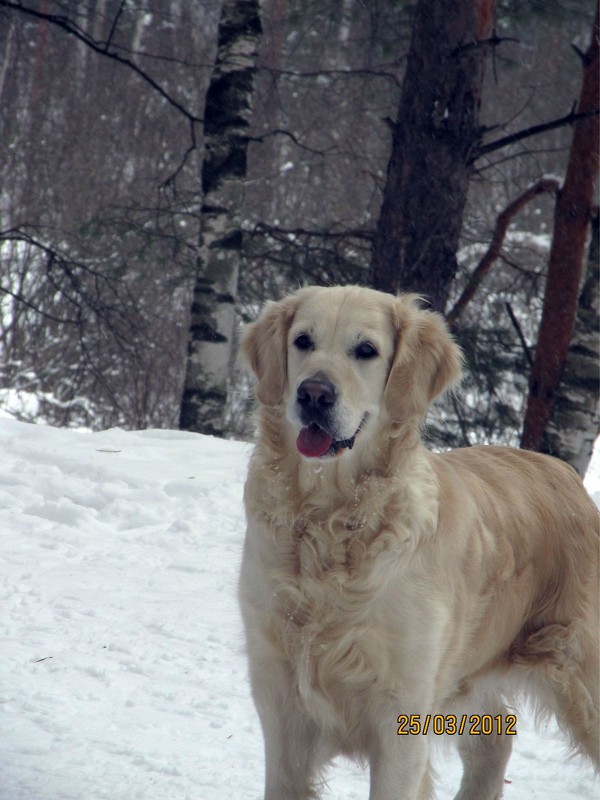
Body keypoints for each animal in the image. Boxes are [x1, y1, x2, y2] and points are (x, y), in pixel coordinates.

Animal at [237, 284, 596, 796]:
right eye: (302, 341)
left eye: (366, 350)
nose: (313, 394)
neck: (332, 521)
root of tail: (566, 473)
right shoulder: (281, 704)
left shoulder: (401, 712)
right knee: (496, 740)